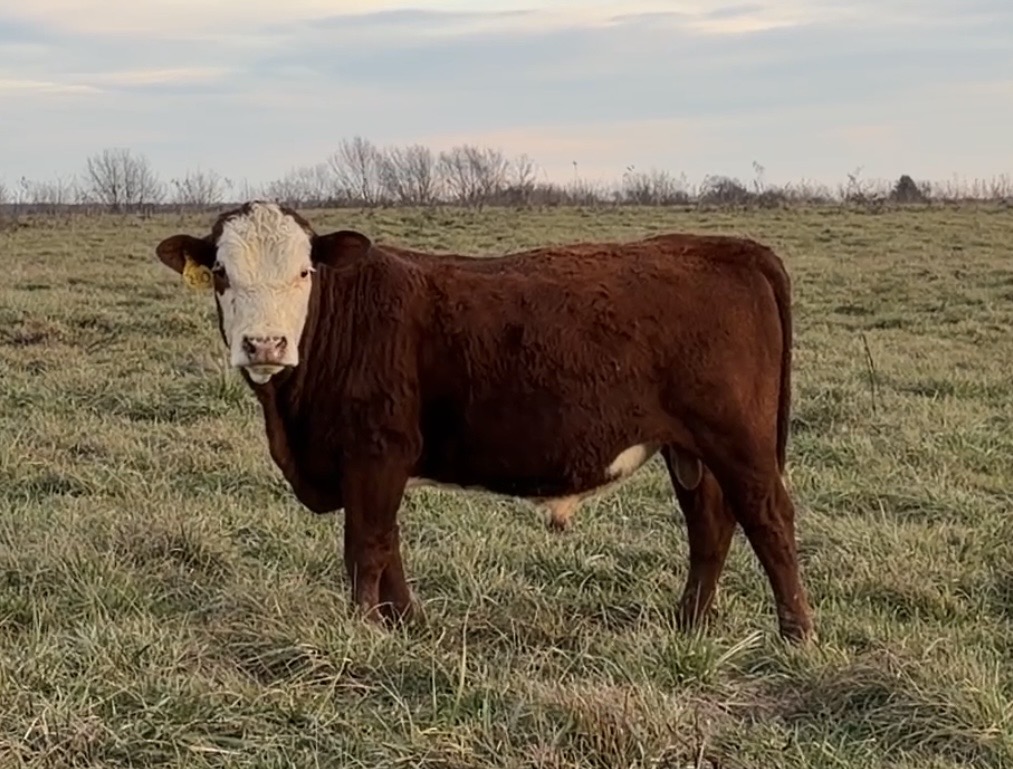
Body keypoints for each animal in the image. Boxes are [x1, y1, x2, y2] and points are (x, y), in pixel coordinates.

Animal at [154, 200, 815, 643]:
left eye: (304, 272)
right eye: (221, 274)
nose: (265, 344)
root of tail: (730, 247)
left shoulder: (376, 451)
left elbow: (366, 545)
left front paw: (362, 632)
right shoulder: (374, 465)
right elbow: (388, 544)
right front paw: (408, 624)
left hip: (739, 443)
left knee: (769, 519)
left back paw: (796, 633)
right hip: (690, 450)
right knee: (711, 526)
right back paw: (689, 623)